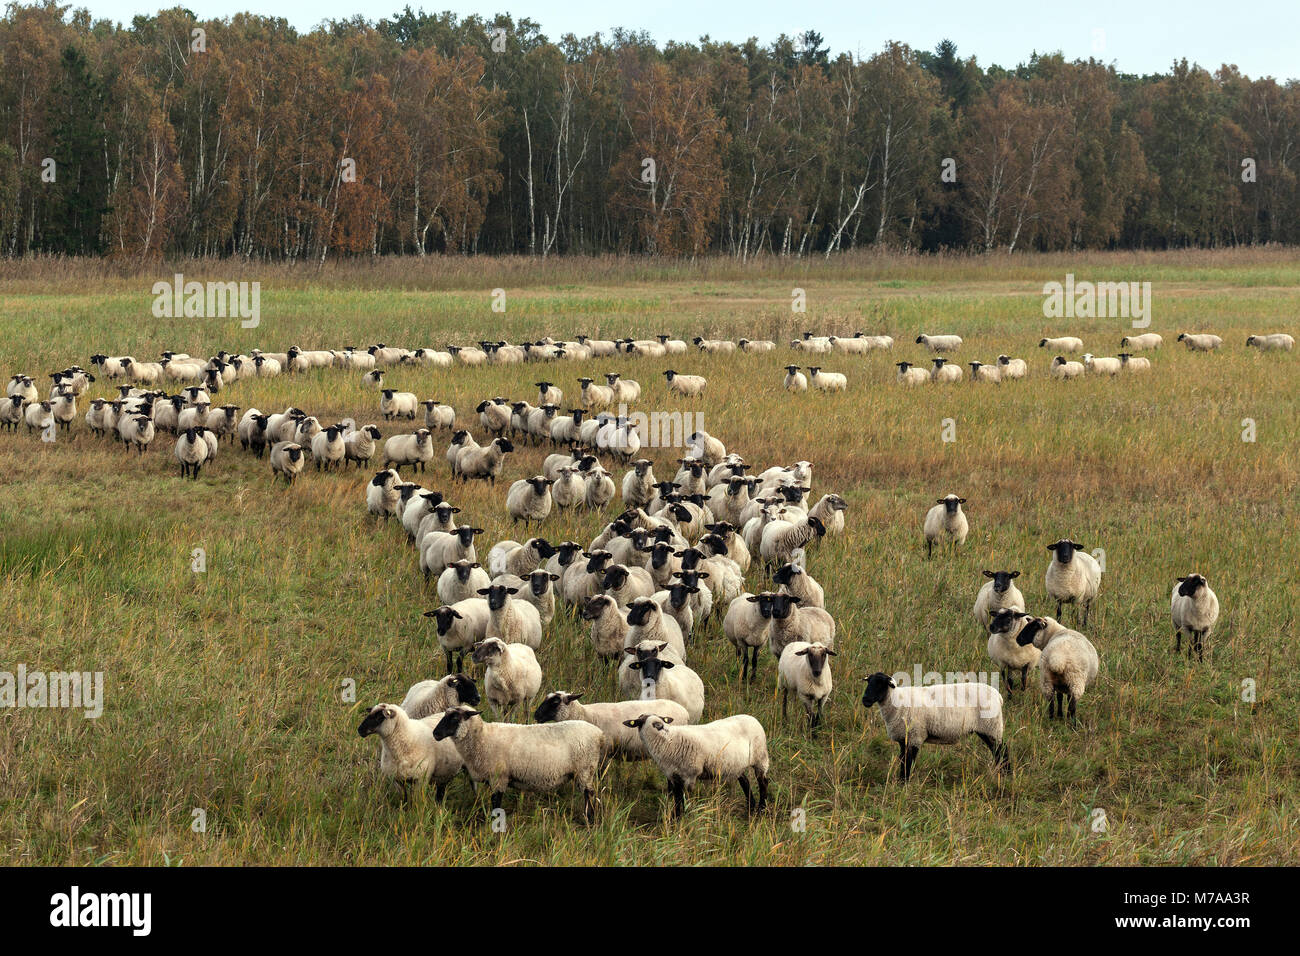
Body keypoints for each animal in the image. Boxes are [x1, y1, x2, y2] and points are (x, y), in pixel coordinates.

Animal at [431, 702, 603, 822]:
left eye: (454, 718)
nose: (435, 734)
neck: (482, 737)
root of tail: (599, 733)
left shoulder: (499, 778)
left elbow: (496, 803)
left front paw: (494, 824)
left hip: (585, 770)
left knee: (589, 794)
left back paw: (590, 819)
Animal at [621, 712, 764, 816]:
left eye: (640, 722)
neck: (668, 740)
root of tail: (751, 717)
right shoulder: (673, 775)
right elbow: (677, 798)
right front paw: (677, 817)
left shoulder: (690, 774)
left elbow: (686, 797)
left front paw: (686, 817)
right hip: (735, 764)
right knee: (745, 781)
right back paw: (751, 808)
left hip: (760, 757)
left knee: (763, 782)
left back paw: (761, 809)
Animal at [857, 671, 1008, 785]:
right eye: (869, 682)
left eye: (880, 684)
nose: (865, 700)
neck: (896, 703)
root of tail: (998, 695)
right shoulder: (904, 739)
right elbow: (903, 761)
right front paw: (901, 782)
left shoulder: (915, 736)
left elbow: (908, 762)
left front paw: (904, 784)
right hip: (987, 729)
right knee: (997, 752)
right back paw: (1001, 773)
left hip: (991, 726)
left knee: (1002, 751)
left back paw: (1005, 774)